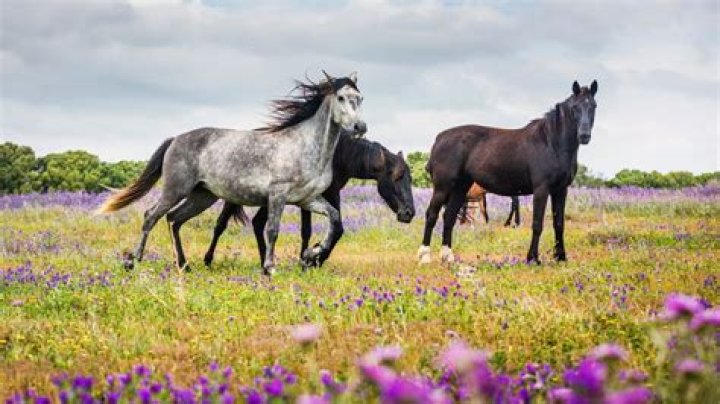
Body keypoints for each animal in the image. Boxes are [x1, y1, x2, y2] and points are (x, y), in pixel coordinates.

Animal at [98, 71, 367, 275]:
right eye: (341, 97)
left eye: (360, 98)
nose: (360, 127)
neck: (307, 146)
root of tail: (175, 139)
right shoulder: (278, 195)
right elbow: (272, 230)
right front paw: (270, 267)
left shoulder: (306, 200)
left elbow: (334, 219)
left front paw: (313, 252)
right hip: (176, 189)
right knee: (151, 216)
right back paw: (133, 260)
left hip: (202, 196)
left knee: (174, 219)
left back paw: (184, 265)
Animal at [203, 133, 416, 268]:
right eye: (397, 176)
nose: (409, 213)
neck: (339, 156)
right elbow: (316, 229)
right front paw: (311, 257)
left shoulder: (330, 193)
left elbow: (330, 229)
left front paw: (311, 259)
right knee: (221, 224)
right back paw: (208, 260)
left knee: (257, 223)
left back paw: (265, 260)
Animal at [418, 80, 598, 265]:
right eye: (575, 107)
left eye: (593, 106)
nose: (584, 136)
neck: (550, 142)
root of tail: (439, 138)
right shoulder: (541, 189)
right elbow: (537, 224)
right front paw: (533, 258)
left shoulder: (561, 190)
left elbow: (559, 223)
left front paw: (561, 257)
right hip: (443, 187)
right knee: (432, 215)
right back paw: (425, 256)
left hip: (460, 188)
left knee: (449, 216)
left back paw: (448, 257)